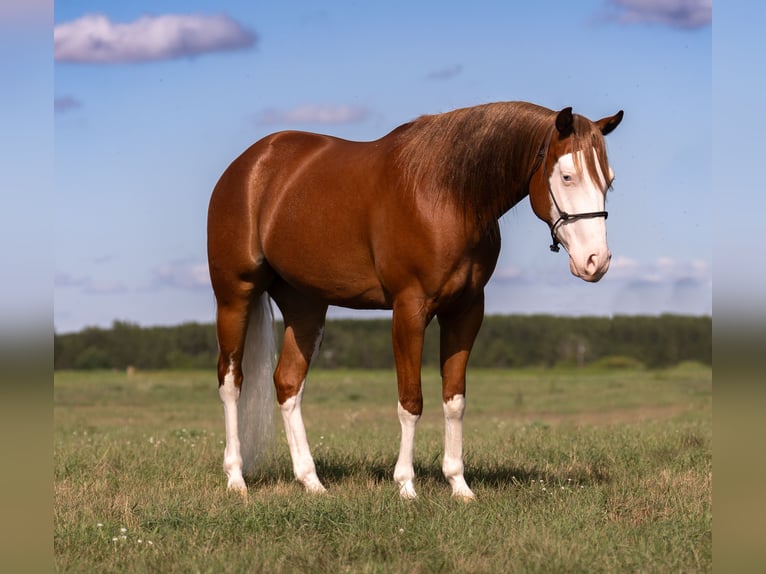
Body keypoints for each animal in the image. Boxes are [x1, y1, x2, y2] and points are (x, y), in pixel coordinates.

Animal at [207, 101, 623, 499]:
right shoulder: (409, 309)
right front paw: (406, 485)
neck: (446, 195)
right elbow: (411, 402)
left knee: (288, 383)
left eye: (609, 180)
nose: (596, 261)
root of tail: (249, 164)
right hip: (234, 296)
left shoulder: (466, 311)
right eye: (567, 175)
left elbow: (454, 399)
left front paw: (459, 485)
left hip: (305, 305)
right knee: (231, 381)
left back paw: (311, 482)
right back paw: (236, 479)